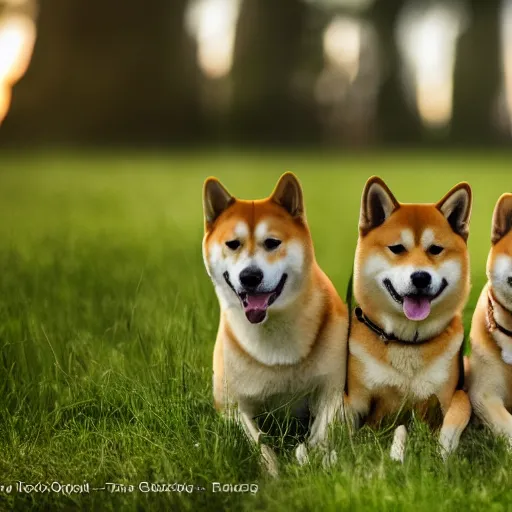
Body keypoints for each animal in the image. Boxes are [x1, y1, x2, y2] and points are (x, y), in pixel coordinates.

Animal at [203, 172, 348, 476]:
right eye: (232, 244)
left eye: (272, 243)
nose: (250, 276)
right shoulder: (231, 407)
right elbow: (257, 441)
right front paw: (273, 471)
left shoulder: (332, 390)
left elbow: (320, 434)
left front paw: (312, 460)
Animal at [346, 176, 474, 460]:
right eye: (397, 249)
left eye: (435, 249)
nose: (421, 277)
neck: (407, 343)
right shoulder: (356, 398)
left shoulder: (452, 394)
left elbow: (456, 417)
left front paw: (442, 453)